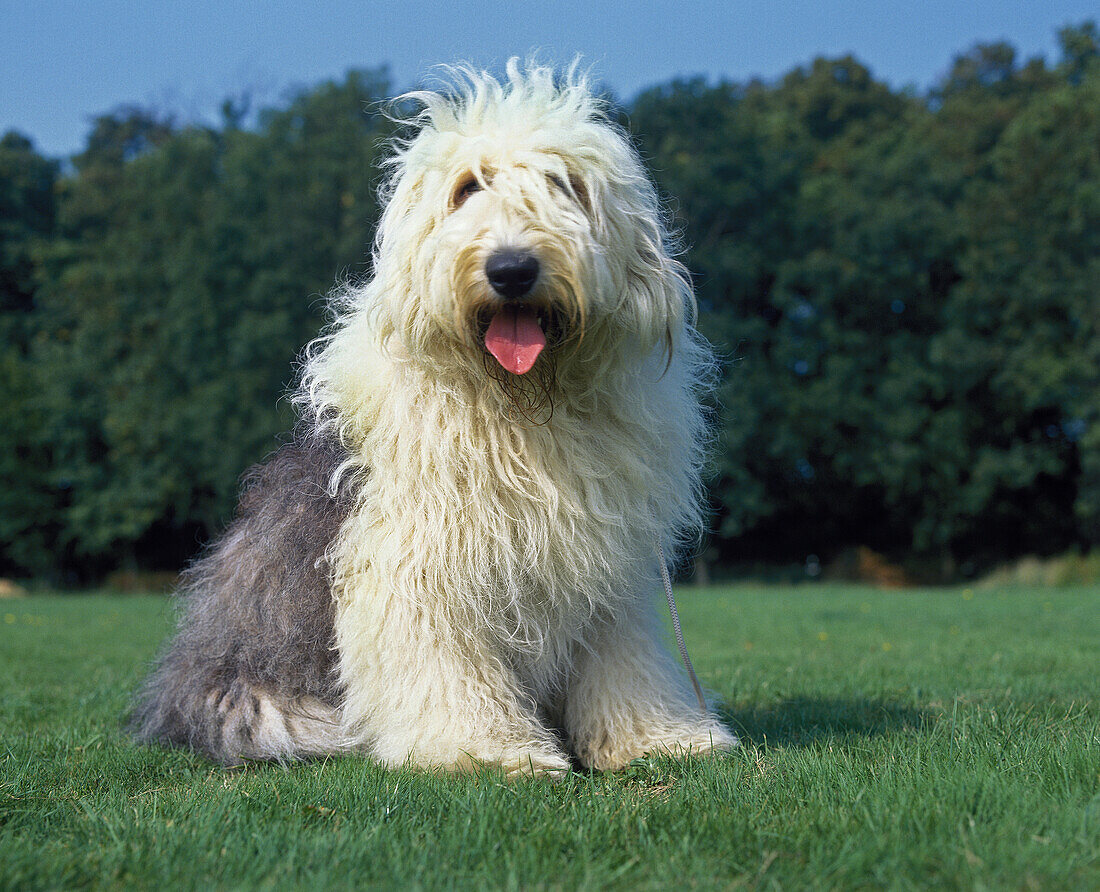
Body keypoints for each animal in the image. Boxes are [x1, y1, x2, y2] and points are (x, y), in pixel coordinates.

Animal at [135, 61, 739, 774]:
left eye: (563, 183)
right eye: (467, 188)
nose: (512, 269)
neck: (521, 411)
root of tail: (176, 689)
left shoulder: (605, 573)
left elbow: (623, 661)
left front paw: (658, 739)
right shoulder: (418, 562)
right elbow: (443, 662)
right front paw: (488, 750)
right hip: (269, 709)